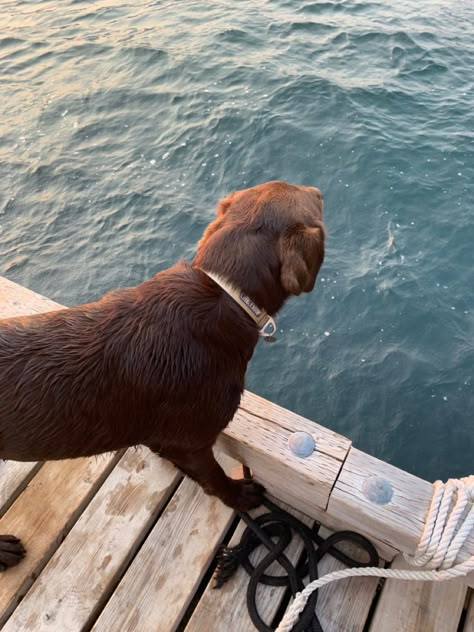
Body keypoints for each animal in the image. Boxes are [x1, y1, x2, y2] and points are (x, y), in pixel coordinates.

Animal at [0, 180, 324, 572]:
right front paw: (240, 495)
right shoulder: (192, 440)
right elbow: (214, 477)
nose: (318, 189)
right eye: (315, 202)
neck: (225, 296)